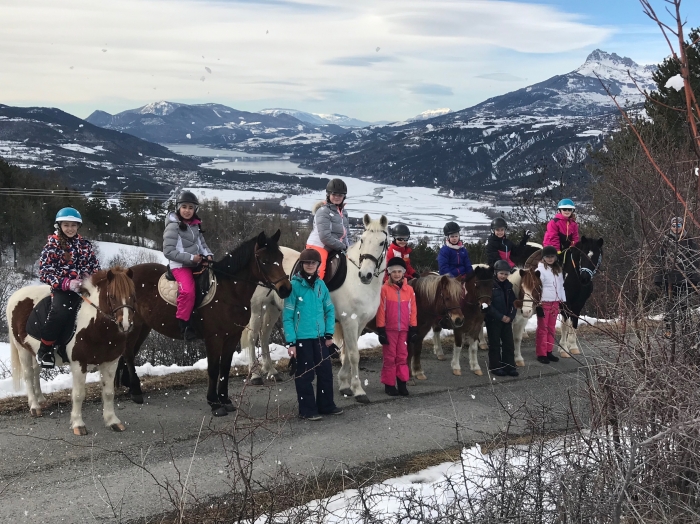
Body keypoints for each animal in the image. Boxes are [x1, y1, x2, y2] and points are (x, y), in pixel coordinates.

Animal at [8, 266, 137, 434]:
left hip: (35, 352)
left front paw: (112, 421)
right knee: (28, 375)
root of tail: (15, 296)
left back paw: (40, 399)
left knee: (36, 371)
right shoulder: (78, 364)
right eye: (112, 296)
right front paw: (78, 424)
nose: (126, 325)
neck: (95, 325)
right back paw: (34, 406)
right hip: (21, 349)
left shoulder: (110, 362)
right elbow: (78, 394)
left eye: (133, 295)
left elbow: (109, 393)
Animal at [245, 213, 388, 402]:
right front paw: (358, 390)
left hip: (273, 308)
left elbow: (348, 353)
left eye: (381, 243)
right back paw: (255, 375)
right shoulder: (349, 321)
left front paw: (344, 384)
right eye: (363, 240)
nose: (365, 275)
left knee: (264, 335)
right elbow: (353, 355)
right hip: (257, 308)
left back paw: (271, 371)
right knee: (252, 336)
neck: (357, 282)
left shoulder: (360, 323)